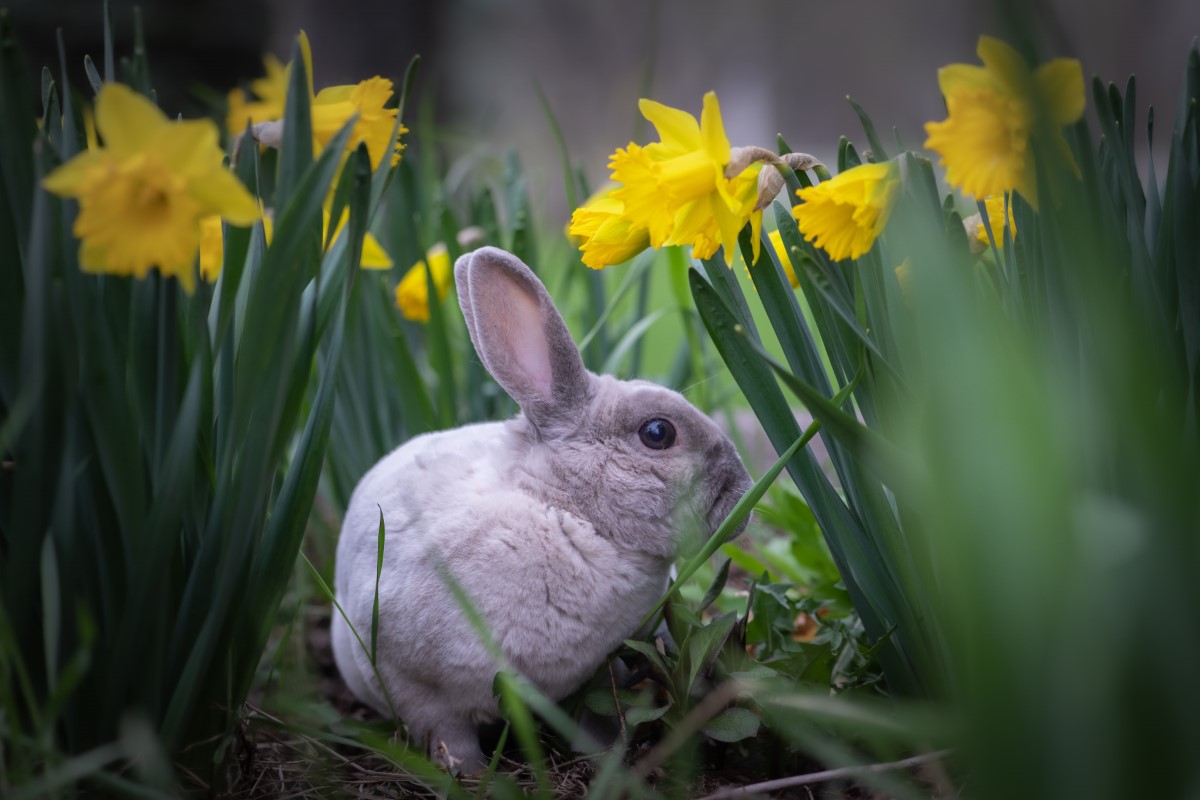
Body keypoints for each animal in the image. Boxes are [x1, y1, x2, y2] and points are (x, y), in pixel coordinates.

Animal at [331, 247, 748, 772]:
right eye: (658, 433)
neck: (564, 510)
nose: (743, 492)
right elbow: (445, 729)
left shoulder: (602, 667)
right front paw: (466, 772)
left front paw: (604, 754)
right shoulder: (411, 681)